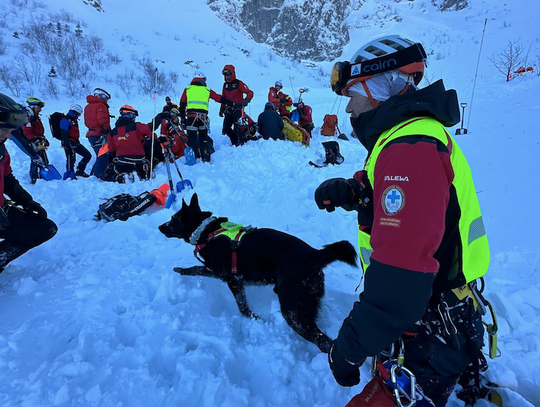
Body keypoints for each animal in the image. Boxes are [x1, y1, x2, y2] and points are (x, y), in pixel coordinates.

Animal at [158, 193, 356, 352]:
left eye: (173, 219)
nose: (160, 227)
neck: (206, 231)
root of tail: (315, 254)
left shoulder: (230, 278)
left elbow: (240, 304)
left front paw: (254, 318)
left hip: (293, 311)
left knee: (323, 341)